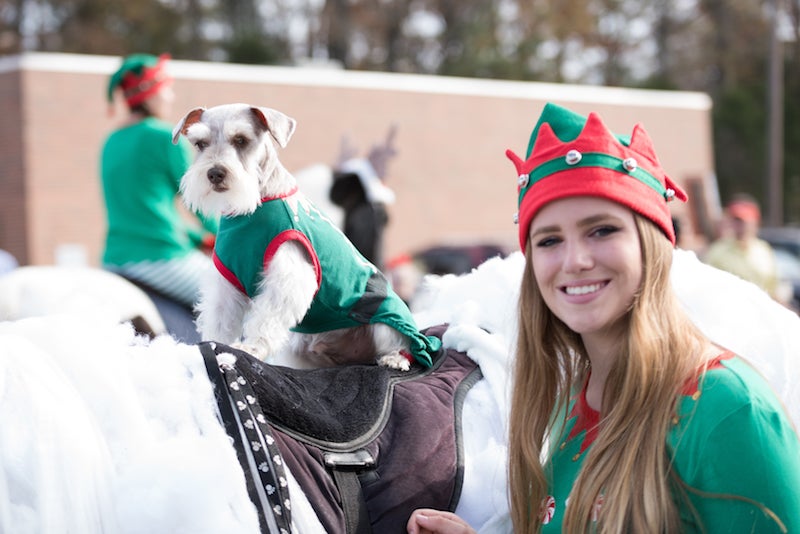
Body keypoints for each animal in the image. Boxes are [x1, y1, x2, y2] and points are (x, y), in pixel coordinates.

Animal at [169, 104, 438, 372]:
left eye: (241, 139)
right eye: (200, 144)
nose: (215, 173)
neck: (253, 206)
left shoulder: (287, 276)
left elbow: (267, 316)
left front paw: (251, 348)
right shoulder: (227, 282)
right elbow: (221, 319)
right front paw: (215, 344)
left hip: (384, 321)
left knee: (410, 344)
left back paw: (395, 358)